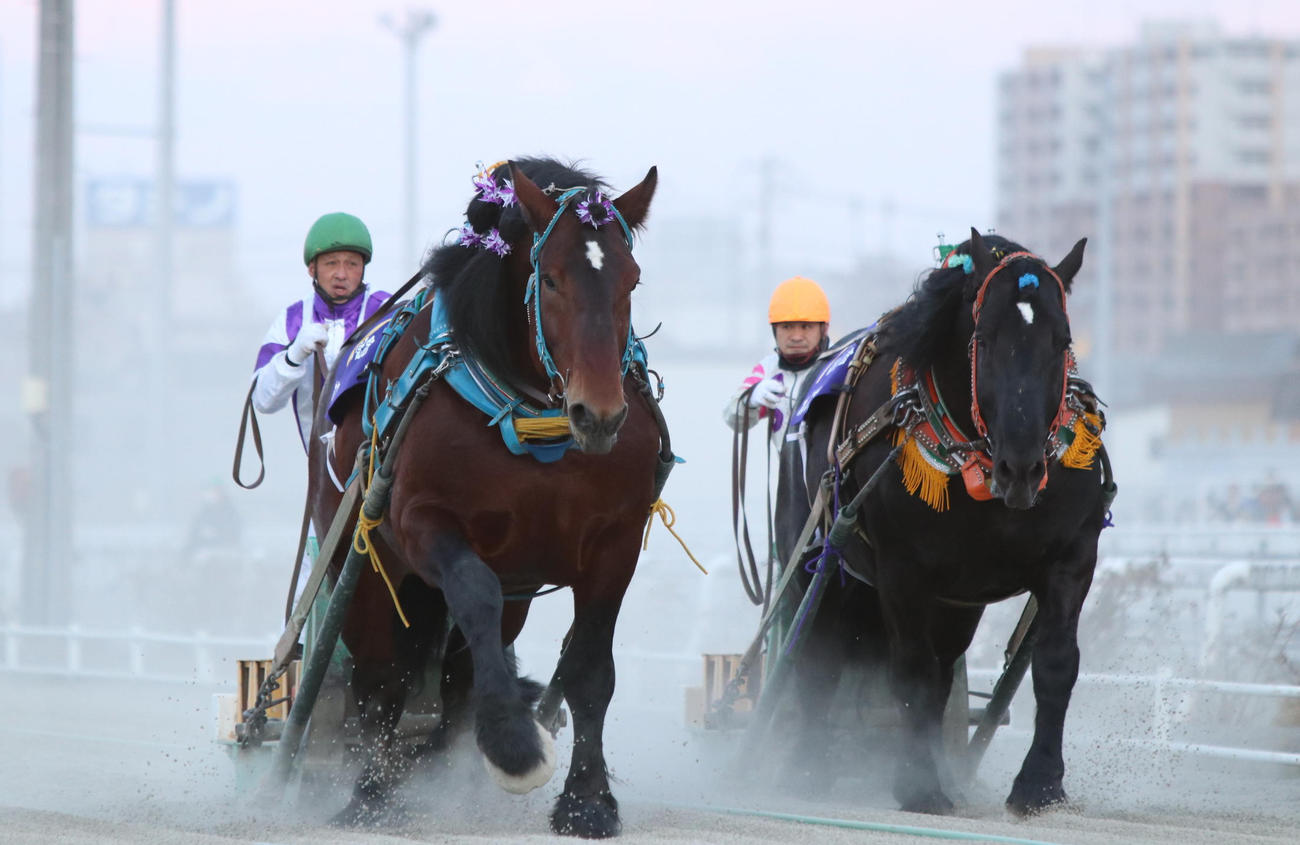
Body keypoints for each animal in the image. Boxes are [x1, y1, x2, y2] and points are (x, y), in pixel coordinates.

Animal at [308, 158, 660, 837]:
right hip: (359, 566)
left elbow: (589, 669)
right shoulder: (422, 521)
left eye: (631, 279)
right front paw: (512, 743)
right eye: (550, 279)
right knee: (380, 676)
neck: (534, 421)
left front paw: (587, 798)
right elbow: (474, 593)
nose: (600, 413)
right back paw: (369, 790)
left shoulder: (617, 539)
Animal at [776, 229, 1111, 815]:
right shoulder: (901, 570)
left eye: (1062, 340)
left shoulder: (1072, 556)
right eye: (985, 339)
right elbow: (909, 668)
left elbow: (1055, 663)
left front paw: (1040, 783)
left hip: (957, 602)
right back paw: (809, 765)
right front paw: (918, 785)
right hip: (819, 558)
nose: (1022, 466)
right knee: (819, 652)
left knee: (939, 669)